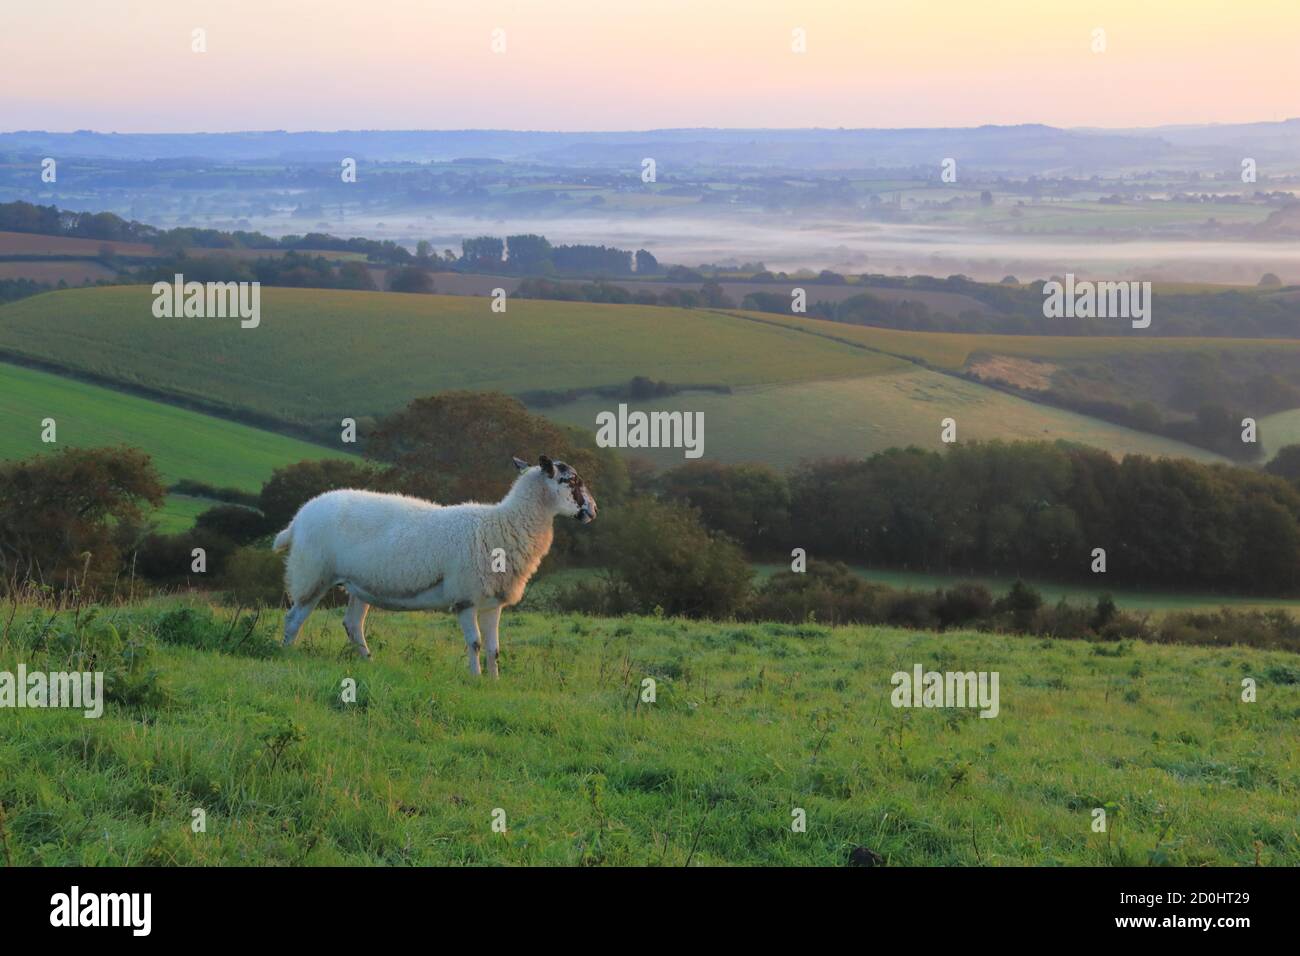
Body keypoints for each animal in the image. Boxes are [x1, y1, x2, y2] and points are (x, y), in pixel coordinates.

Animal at [276, 457, 600, 676]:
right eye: (570, 480)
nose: (593, 511)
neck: (502, 524)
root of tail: (298, 518)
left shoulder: (493, 602)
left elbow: (494, 648)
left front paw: (494, 681)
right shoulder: (465, 597)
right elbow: (475, 644)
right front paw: (475, 679)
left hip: (359, 585)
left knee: (353, 624)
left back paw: (369, 662)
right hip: (312, 573)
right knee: (294, 618)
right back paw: (286, 653)